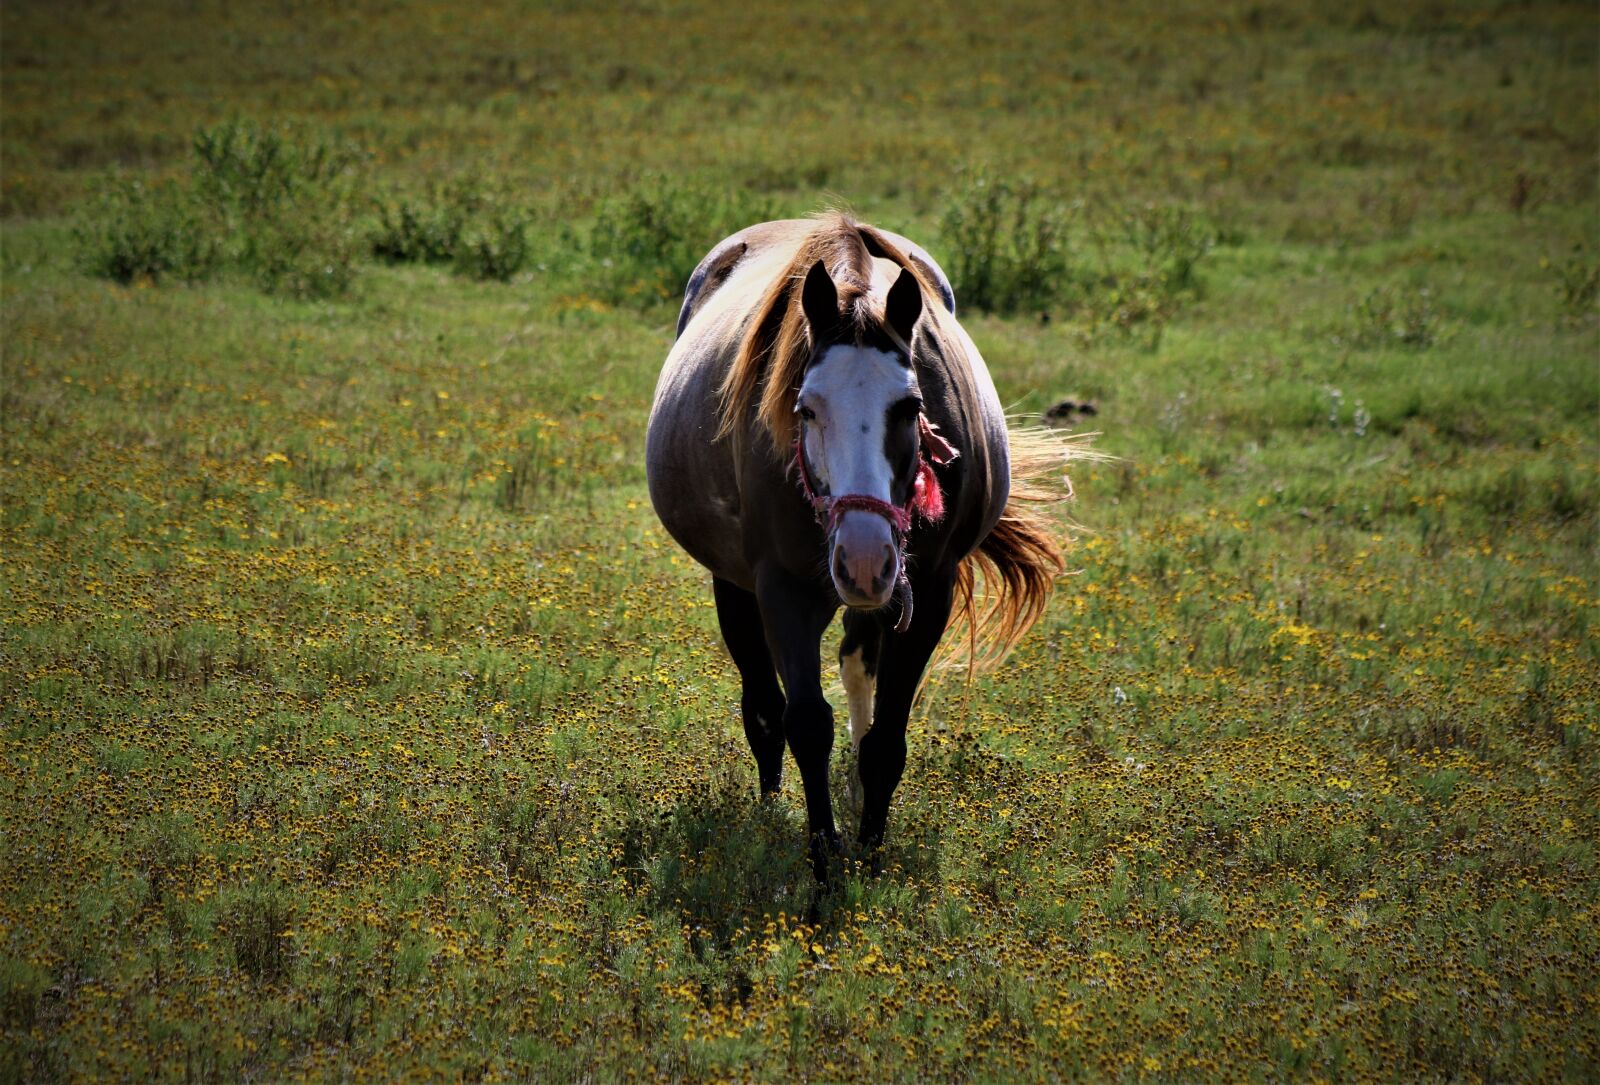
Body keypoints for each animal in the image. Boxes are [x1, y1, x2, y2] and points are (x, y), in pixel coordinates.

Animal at [646, 213, 1071, 879]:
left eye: (912, 405)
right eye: (805, 409)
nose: (864, 558)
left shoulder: (927, 592)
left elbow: (887, 738)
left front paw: (871, 854)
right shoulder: (784, 591)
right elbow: (805, 723)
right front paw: (823, 860)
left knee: (856, 667)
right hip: (735, 585)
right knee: (762, 705)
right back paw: (770, 811)